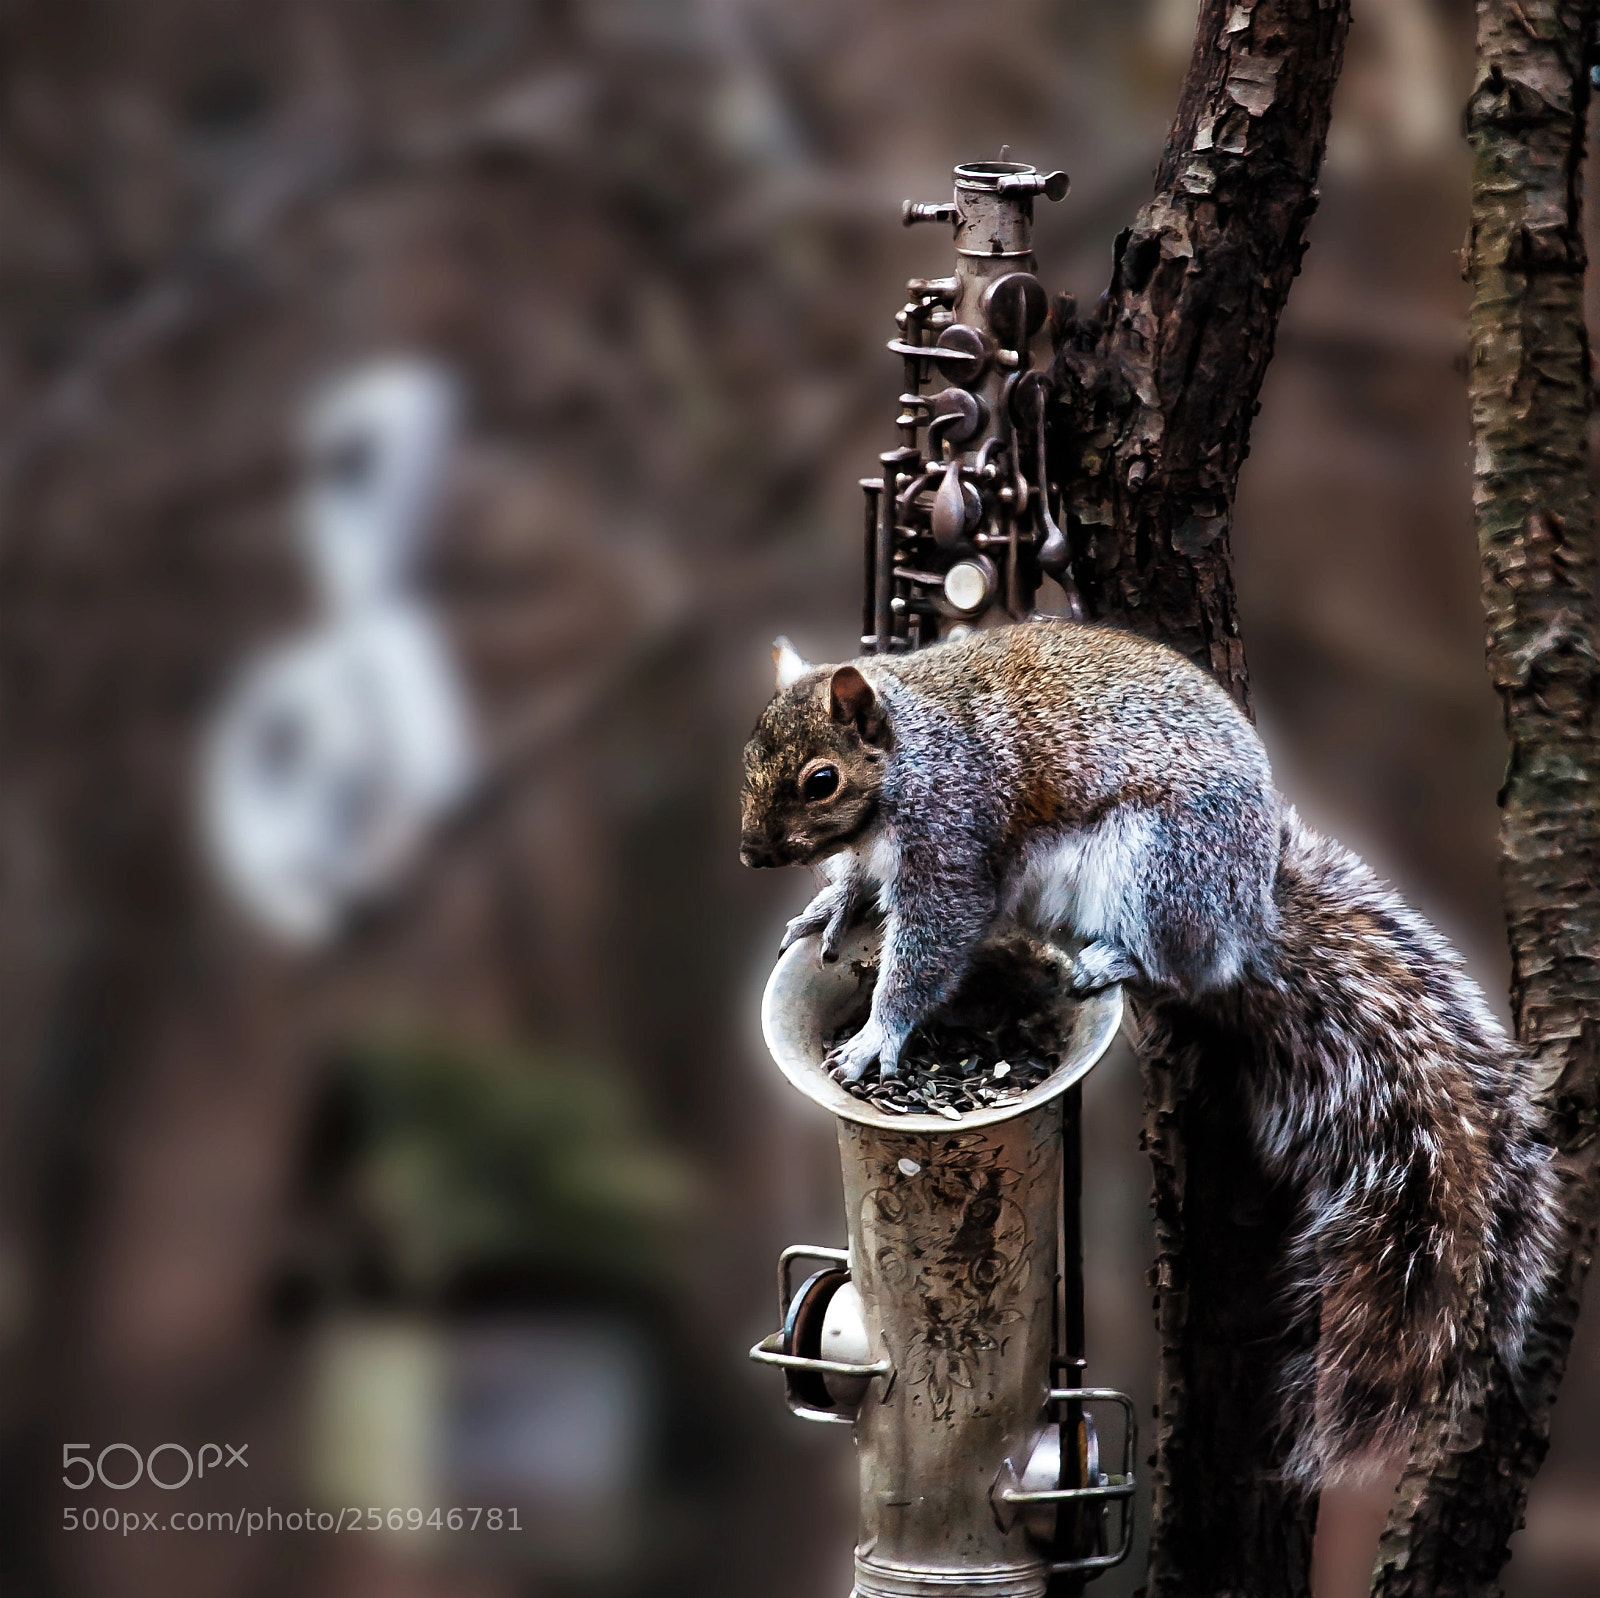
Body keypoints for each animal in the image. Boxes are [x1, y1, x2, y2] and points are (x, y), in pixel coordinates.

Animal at [739, 619, 1559, 1488]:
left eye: (821, 780)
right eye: (750, 751)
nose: (752, 854)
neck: (908, 759)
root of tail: (1249, 917)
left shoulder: (953, 841)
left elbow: (930, 947)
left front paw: (877, 1038)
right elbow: (860, 887)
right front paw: (831, 907)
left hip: (1158, 871)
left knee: (1189, 966)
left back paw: (1117, 961)